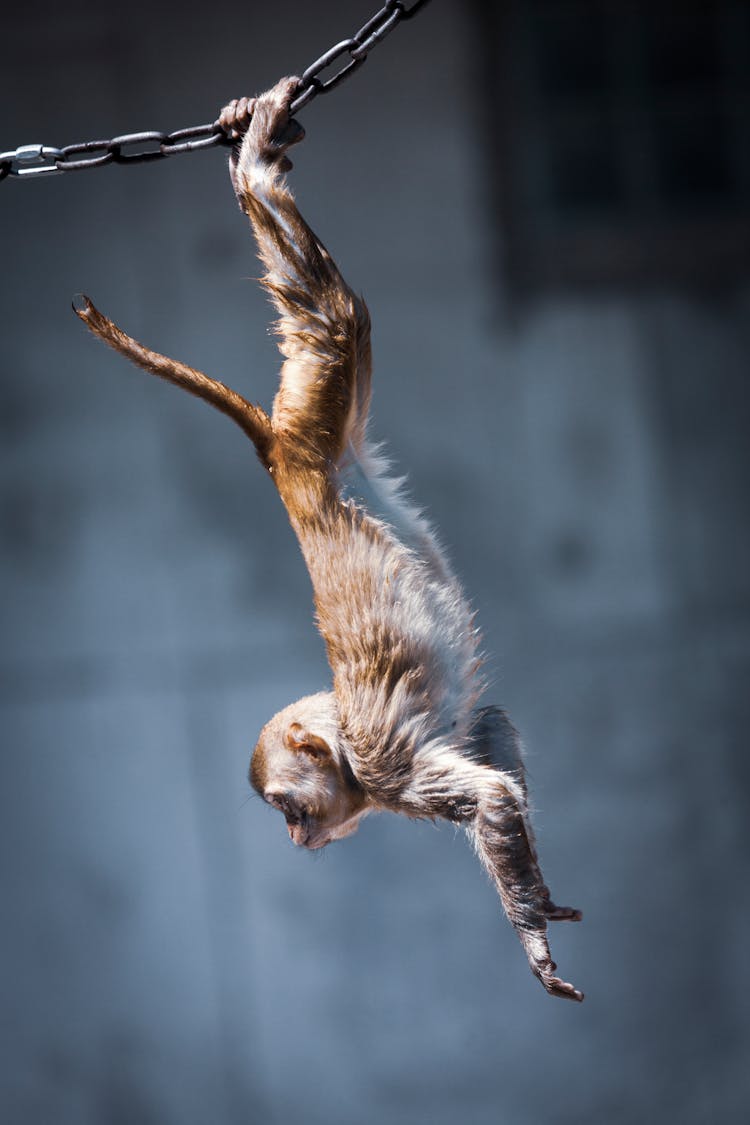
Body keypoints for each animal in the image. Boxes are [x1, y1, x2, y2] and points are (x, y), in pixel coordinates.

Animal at [76, 77, 584, 1003]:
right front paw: (541, 897)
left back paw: (255, 170)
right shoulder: (427, 750)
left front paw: (530, 933)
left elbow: (488, 793)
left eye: (287, 807)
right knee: (337, 324)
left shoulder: (387, 769)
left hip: (313, 411)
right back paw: (258, 151)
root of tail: (286, 463)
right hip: (329, 431)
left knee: (328, 314)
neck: (349, 740)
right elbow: (493, 736)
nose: (294, 839)